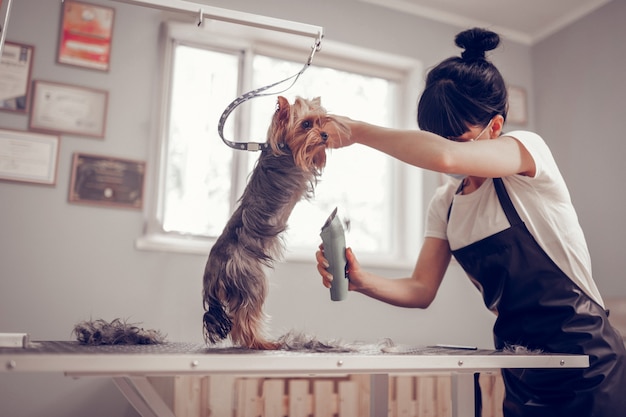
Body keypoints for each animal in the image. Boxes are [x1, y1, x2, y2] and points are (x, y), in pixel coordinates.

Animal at [202, 94, 348, 348]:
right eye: (306, 124)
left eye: (321, 121)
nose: (324, 135)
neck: (283, 148)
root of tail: (213, 271)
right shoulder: (301, 163)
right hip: (252, 280)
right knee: (246, 316)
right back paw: (263, 343)